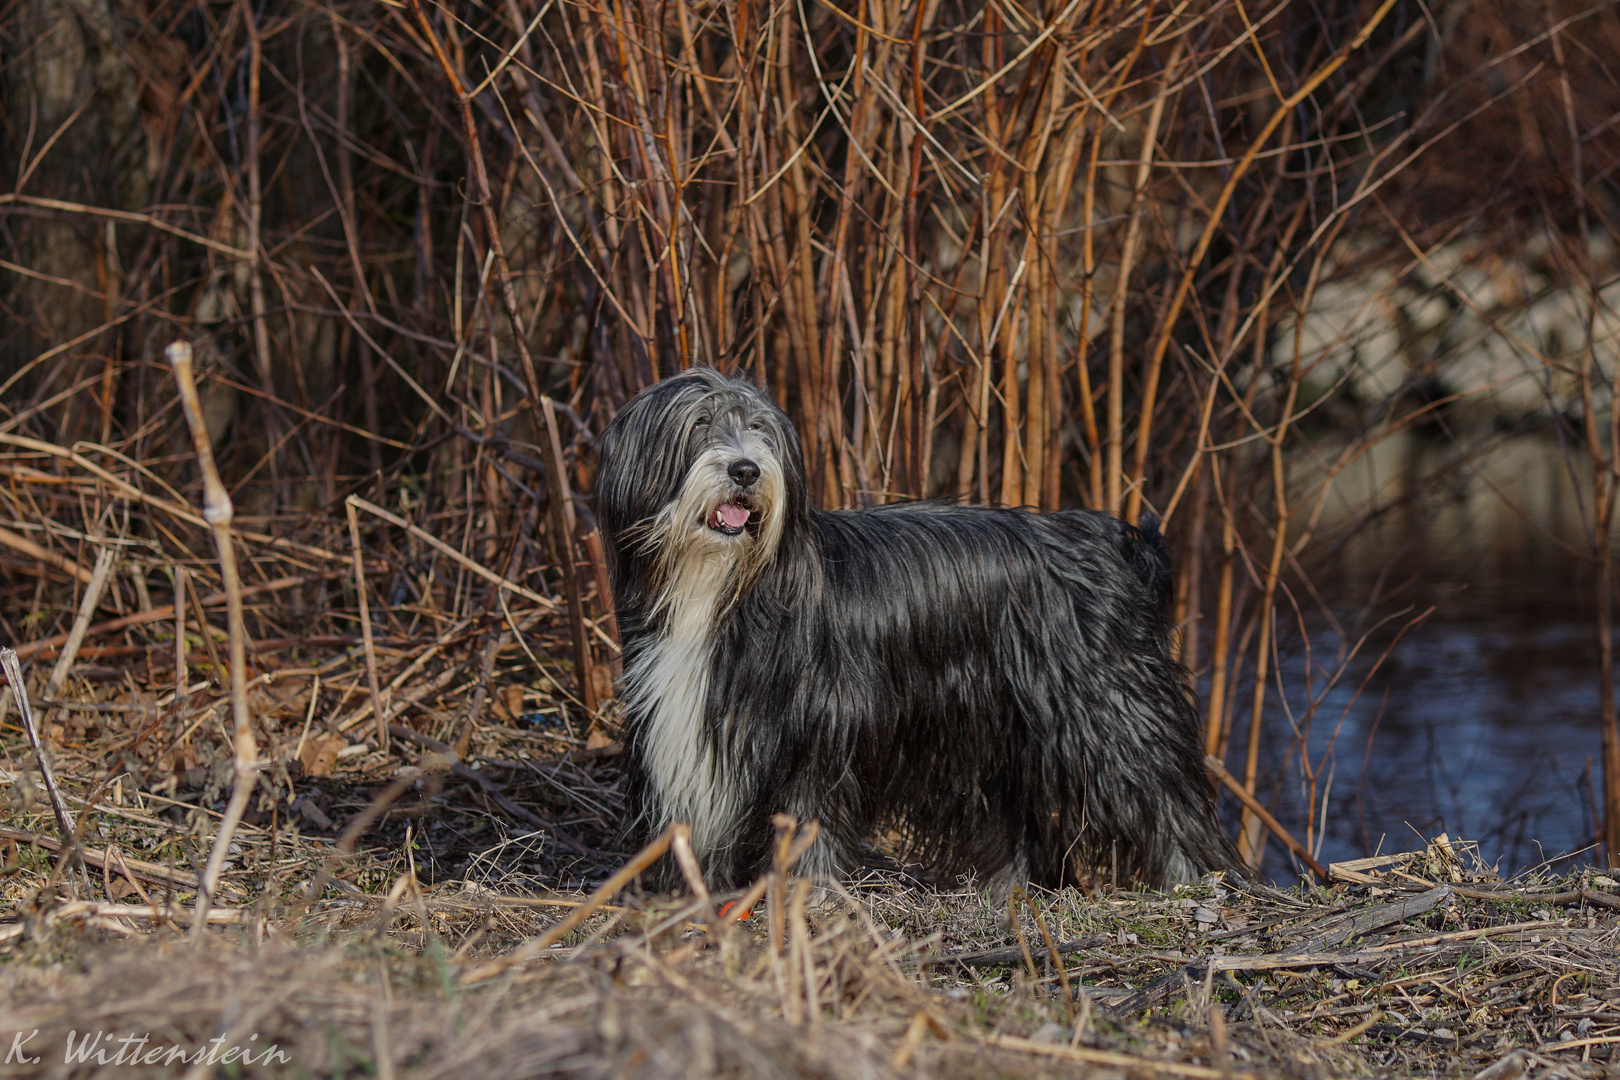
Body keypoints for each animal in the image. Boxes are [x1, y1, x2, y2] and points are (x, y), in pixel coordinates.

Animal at [596, 367, 1237, 893]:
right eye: (700, 423)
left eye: (759, 430)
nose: (746, 469)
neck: (720, 586)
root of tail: (1113, 541)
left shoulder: (818, 729)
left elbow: (808, 820)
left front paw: (806, 898)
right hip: (995, 731)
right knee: (1016, 821)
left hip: (1109, 711)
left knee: (1162, 795)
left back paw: (1194, 883)